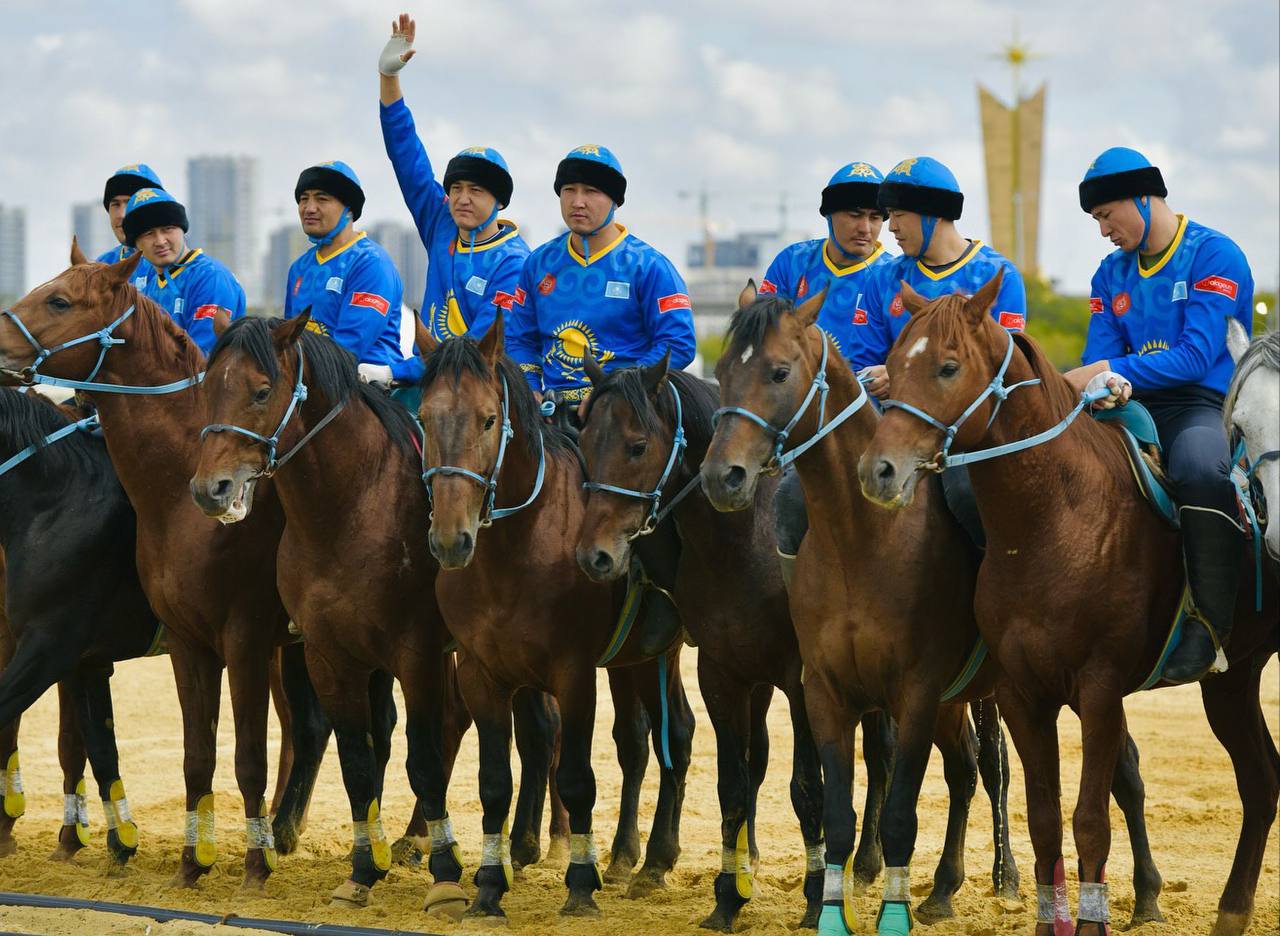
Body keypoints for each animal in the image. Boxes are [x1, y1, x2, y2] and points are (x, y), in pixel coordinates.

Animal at [0, 252, 335, 891]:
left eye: (58, 300)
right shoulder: (131, 648)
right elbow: (119, 747)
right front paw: (147, 851)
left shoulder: (235, 638)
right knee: (308, 728)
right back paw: (289, 829)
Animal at [188, 316, 565, 916]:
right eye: (208, 389)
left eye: (262, 392)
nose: (210, 489)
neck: (351, 509)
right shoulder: (330, 657)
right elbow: (357, 763)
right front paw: (363, 871)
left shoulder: (416, 655)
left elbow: (424, 761)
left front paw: (445, 878)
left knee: (535, 728)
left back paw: (524, 846)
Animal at [414, 316, 696, 921]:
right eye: (424, 418)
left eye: (488, 419)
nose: (450, 539)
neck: (517, 548)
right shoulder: (482, 673)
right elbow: (495, 781)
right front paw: (488, 888)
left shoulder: (573, 673)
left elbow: (575, 777)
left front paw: (581, 885)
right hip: (634, 660)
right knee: (638, 741)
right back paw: (627, 856)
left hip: (665, 653)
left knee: (678, 736)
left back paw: (659, 860)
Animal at [701, 286, 1172, 936]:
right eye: (722, 371)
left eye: (777, 372)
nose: (722, 477)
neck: (861, 540)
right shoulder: (825, 692)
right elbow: (840, 814)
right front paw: (833, 914)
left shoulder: (917, 692)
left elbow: (900, 813)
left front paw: (891, 916)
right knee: (969, 770)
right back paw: (947, 888)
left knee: (1109, 773)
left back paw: (1139, 892)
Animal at [860, 271, 1280, 936]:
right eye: (894, 365)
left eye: (948, 367)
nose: (880, 470)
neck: (1055, 518)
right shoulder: (1021, 694)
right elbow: (1044, 820)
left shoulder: (1100, 690)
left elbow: (1089, 821)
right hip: (1232, 680)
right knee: (1262, 784)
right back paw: (1232, 913)